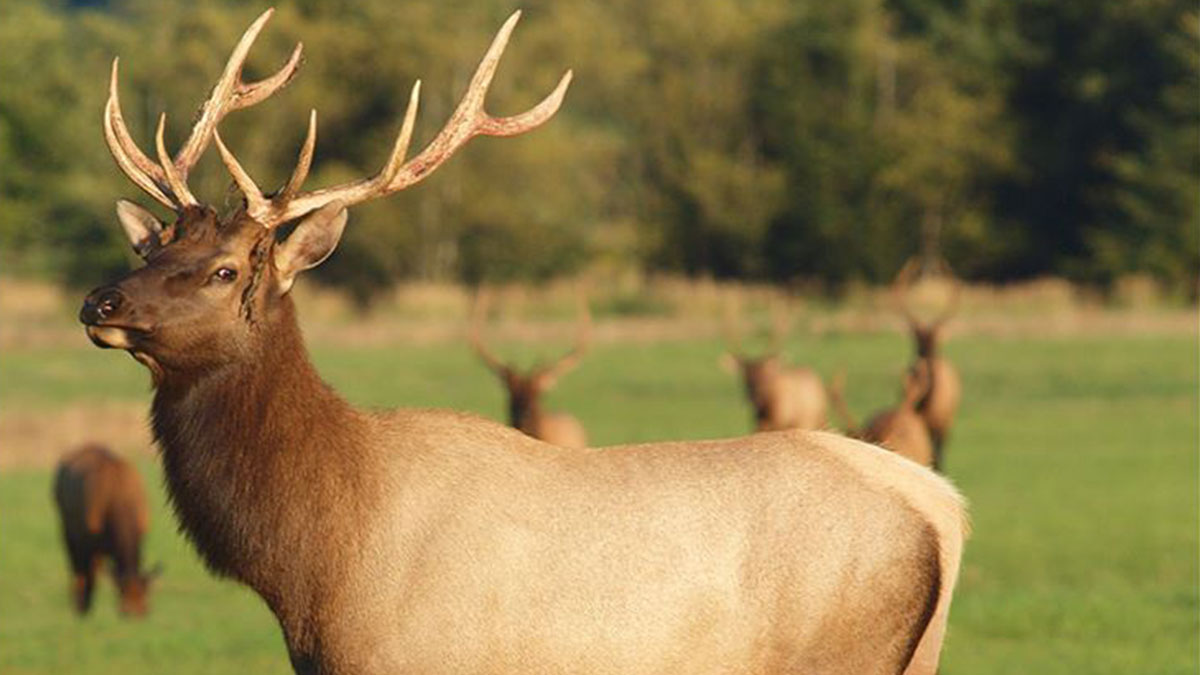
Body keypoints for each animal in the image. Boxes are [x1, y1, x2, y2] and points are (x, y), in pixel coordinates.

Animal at [53, 443, 160, 617]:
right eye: (125, 608)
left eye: (144, 605)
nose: (135, 614)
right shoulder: (91, 545)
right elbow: (90, 574)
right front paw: (86, 607)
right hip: (68, 534)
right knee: (78, 569)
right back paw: (80, 604)